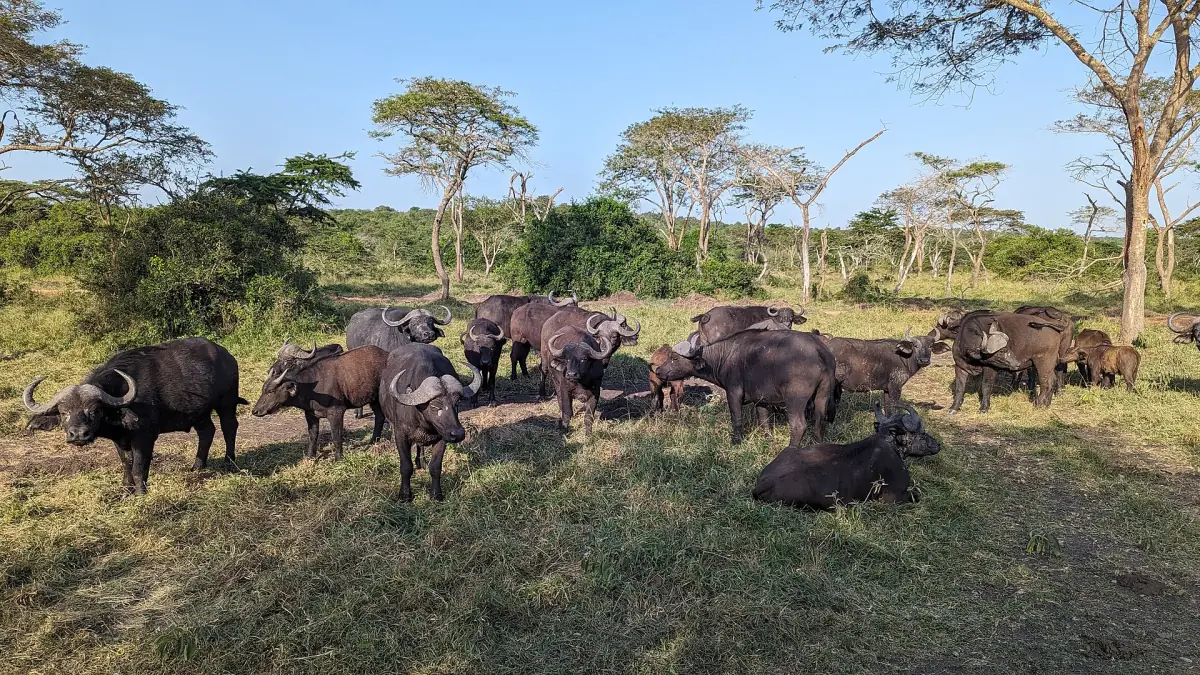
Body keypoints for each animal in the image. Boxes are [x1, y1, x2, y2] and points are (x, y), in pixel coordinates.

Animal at [23, 337, 245, 494]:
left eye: (95, 410)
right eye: (64, 412)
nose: (78, 435)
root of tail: (227, 356)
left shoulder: (144, 437)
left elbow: (139, 467)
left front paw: (140, 493)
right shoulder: (120, 441)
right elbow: (126, 465)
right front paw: (125, 491)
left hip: (227, 402)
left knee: (229, 427)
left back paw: (229, 462)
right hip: (199, 413)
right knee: (207, 431)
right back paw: (197, 466)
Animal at [251, 342, 390, 460]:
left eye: (270, 391)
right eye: (263, 390)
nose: (255, 411)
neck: (312, 388)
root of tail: (387, 355)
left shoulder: (336, 413)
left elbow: (336, 436)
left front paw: (338, 458)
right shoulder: (310, 415)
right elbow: (313, 435)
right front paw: (310, 456)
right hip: (374, 400)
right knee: (379, 417)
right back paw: (372, 442)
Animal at [380, 343, 482, 501]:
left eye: (457, 403)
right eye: (434, 406)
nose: (458, 434)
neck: (424, 423)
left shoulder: (443, 437)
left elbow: (435, 467)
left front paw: (436, 494)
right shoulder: (401, 435)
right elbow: (406, 466)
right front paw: (405, 495)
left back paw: (421, 462)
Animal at [655, 329, 835, 446]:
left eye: (675, 358)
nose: (658, 371)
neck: (725, 355)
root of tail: (818, 349)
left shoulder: (733, 393)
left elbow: (736, 418)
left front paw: (736, 441)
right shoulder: (761, 400)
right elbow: (764, 420)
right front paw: (767, 438)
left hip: (794, 400)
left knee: (799, 425)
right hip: (822, 395)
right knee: (819, 420)